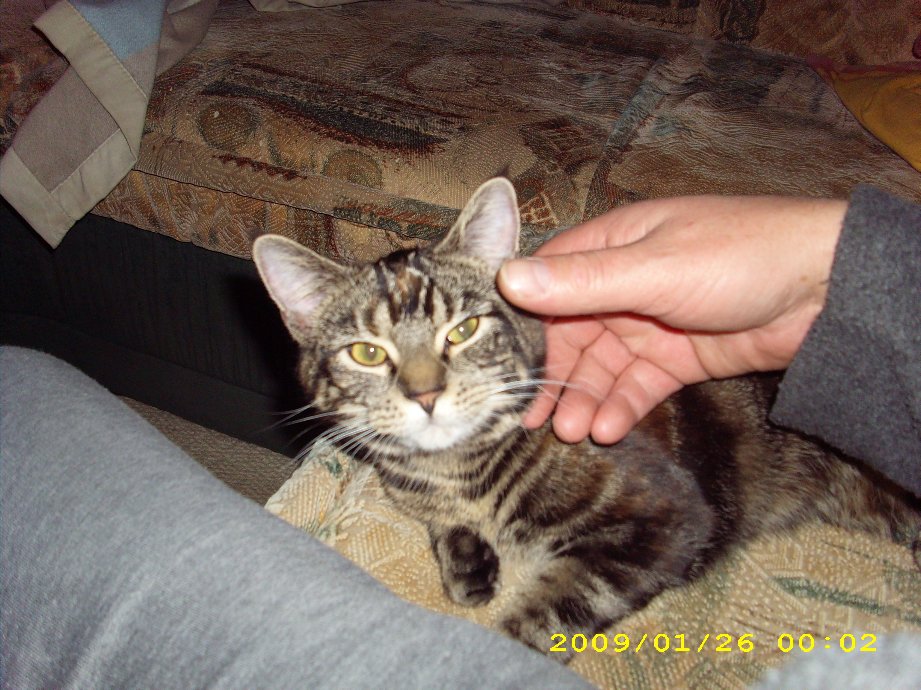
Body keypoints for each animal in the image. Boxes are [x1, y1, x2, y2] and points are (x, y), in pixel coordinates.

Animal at [253, 178, 921, 660]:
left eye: (464, 330)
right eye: (367, 353)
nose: (426, 393)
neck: (455, 471)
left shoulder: (669, 521)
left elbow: (553, 609)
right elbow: (443, 525)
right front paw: (467, 562)